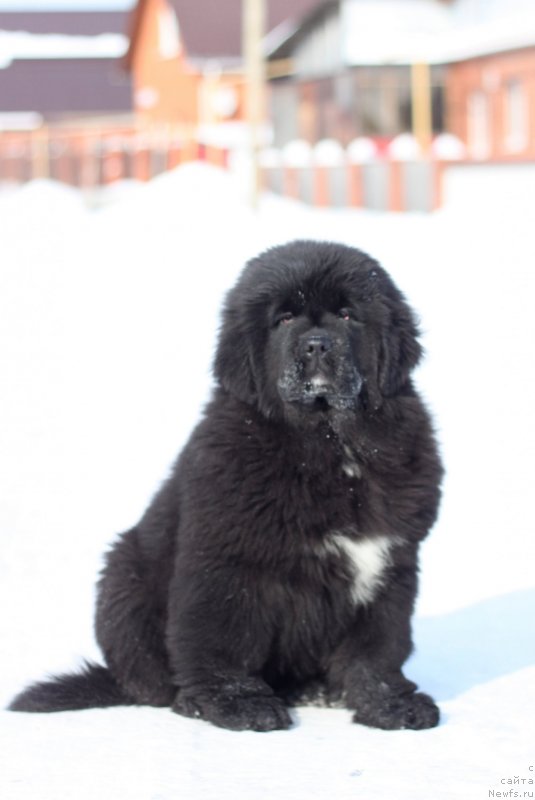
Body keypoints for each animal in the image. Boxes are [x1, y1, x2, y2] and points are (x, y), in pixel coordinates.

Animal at [9, 239, 444, 732]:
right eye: (284, 319)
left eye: (348, 314)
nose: (316, 344)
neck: (328, 446)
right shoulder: (228, 560)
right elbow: (222, 637)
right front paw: (238, 703)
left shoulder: (390, 565)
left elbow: (379, 648)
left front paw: (392, 704)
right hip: (124, 572)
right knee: (152, 683)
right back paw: (190, 699)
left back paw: (316, 690)